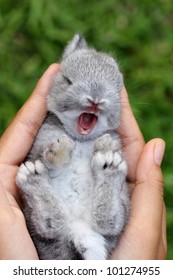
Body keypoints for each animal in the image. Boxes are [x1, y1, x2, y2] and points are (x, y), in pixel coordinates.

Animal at [16, 35, 130, 260]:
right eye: (67, 80)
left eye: (117, 89)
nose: (95, 100)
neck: (80, 139)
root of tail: (80, 232)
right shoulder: (42, 139)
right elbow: (47, 150)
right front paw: (60, 150)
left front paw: (106, 145)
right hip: (33, 220)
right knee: (50, 225)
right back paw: (33, 177)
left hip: (122, 208)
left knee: (110, 222)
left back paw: (110, 167)